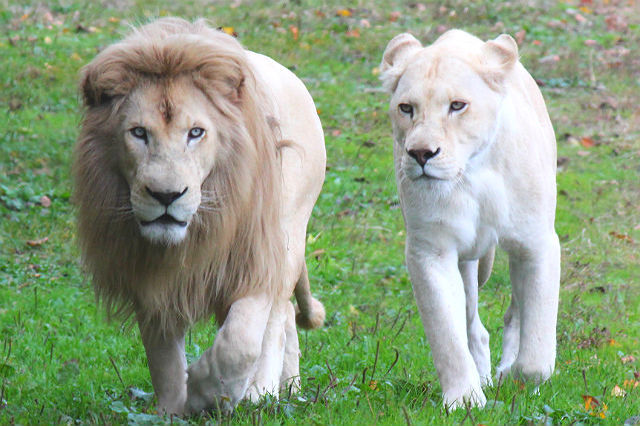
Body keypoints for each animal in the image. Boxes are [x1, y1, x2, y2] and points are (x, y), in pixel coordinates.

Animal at [73, 18, 328, 414]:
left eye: (196, 132)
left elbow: (240, 343)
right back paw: (287, 388)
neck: (194, 237)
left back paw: (263, 393)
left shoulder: (256, 261)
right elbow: (162, 357)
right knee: (285, 316)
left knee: (276, 320)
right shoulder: (147, 277)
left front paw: (206, 391)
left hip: (287, 240)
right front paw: (172, 409)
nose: (166, 196)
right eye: (138, 133)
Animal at [380, 30, 560, 410]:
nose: (421, 154)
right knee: (474, 327)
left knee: (515, 312)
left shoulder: (537, 244)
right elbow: (447, 336)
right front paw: (464, 398)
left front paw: (516, 378)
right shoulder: (430, 251)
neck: (472, 175)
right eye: (406, 108)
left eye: (457, 106)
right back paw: (484, 376)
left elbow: (536, 353)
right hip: (470, 265)